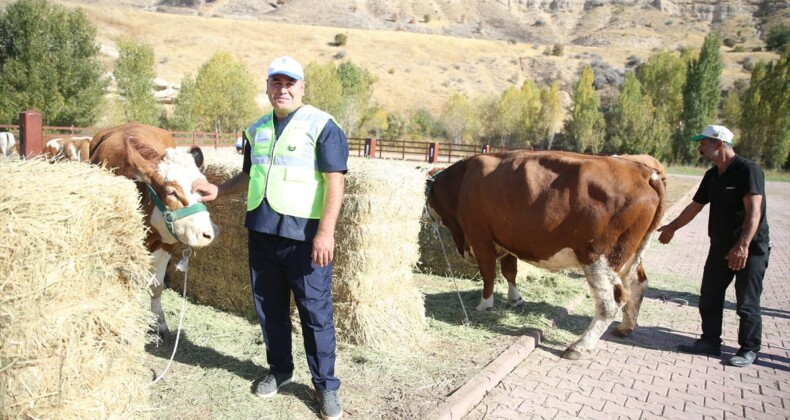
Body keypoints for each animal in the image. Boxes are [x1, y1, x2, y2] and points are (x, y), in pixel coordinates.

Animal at [90, 123, 217, 340]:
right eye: (172, 192)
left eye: (202, 187)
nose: (207, 234)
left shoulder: (166, 243)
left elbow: (156, 285)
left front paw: (159, 323)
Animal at [426, 149, 668, 360]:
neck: (462, 181)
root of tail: (646, 173)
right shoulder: (507, 239)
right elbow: (509, 271)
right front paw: (515, 300)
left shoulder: (480, 236)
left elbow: (488, 274)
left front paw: (484, 305)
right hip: (629, 257)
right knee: (638, 284)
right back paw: (625, 327)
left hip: (598, 258)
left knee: (611, 301)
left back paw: (579, 346)